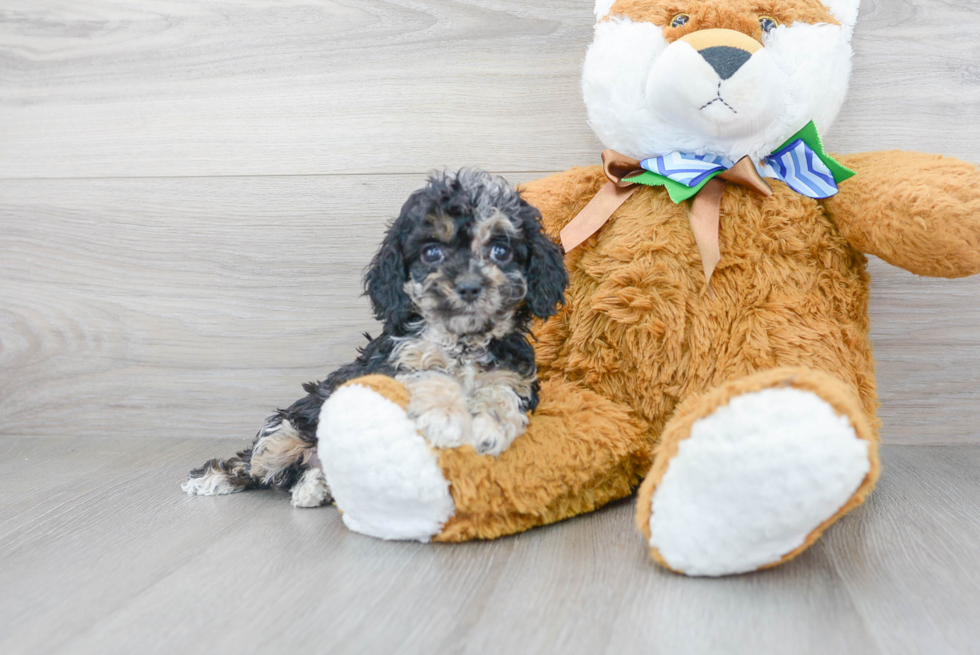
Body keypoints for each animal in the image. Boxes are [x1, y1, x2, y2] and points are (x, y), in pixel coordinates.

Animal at [182, 168, 568, 508]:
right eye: (432, 253)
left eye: (500, 250)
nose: (470, 287)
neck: (461, 339)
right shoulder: (395, 362)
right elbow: (430, 375)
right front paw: (445, 418)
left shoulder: (514, 373)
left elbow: (501, 391)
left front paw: (490, 428)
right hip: (291, 428)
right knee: (257, 461)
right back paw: (214, 479)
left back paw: (313, 487)